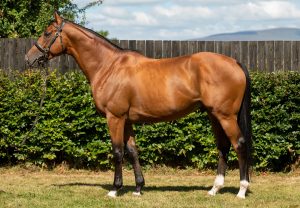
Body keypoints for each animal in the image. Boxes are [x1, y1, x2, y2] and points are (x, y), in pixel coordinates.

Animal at [25, 12, 251, 198]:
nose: (29, 58)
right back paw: (215, 189)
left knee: (239, 144)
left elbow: (118, 151)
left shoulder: (114, 117)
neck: (108, 66)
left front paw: (115, 189)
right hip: (214, 115)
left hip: (225, 116)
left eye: (47, 33)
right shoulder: (127, 120)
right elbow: (132, 151)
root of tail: (235, 62)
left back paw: (241, 190)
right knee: (223, 147)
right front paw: (138, 188)